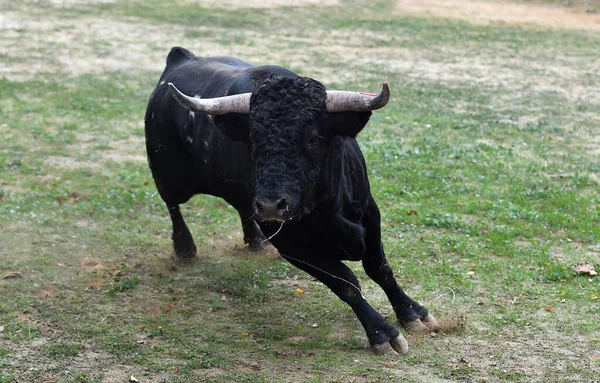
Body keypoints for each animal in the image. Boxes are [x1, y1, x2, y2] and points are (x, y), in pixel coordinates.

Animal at [144, 48, 438, 356]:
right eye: (252, 139)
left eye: (313, 138)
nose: (271, 205)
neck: (326, 208)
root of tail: (181, 58)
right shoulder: (291, 245)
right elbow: (345, 282)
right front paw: (382, 332)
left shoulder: (370, 212)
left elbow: (379, 267)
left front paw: (413, 313)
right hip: (167, 174)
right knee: (173, 207)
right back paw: (185, 248)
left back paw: (255, 242)